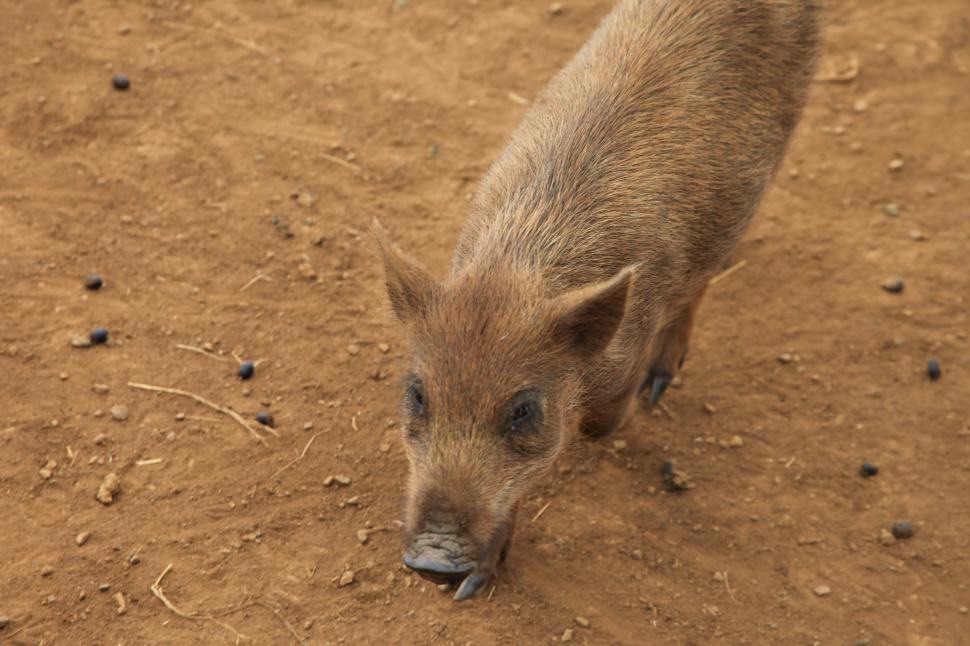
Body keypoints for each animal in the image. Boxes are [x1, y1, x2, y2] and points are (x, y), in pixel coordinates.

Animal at [375, 0, 820, 600]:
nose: (433, 561)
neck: (516, 268)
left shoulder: (613, 379)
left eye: (524, 410)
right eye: (418, 395)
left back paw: (663, 381)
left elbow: (585, 434)